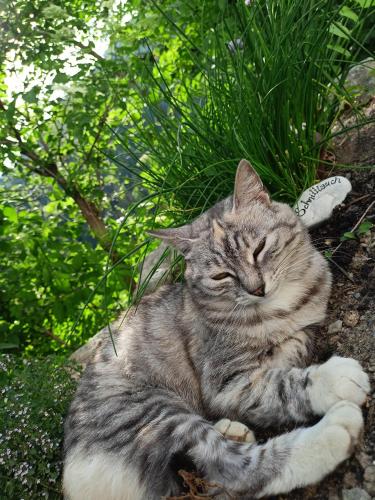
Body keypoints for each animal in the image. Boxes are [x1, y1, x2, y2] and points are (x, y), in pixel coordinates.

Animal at [63, 161, 372, 500]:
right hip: (154, 412)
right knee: (229, 469)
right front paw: (324, 379)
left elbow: (299, 338)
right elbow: (280, 383)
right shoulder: (224, 383)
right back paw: (332, 432)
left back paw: (233, 429)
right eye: (222, 275)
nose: (257, 289)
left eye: (259, 249)